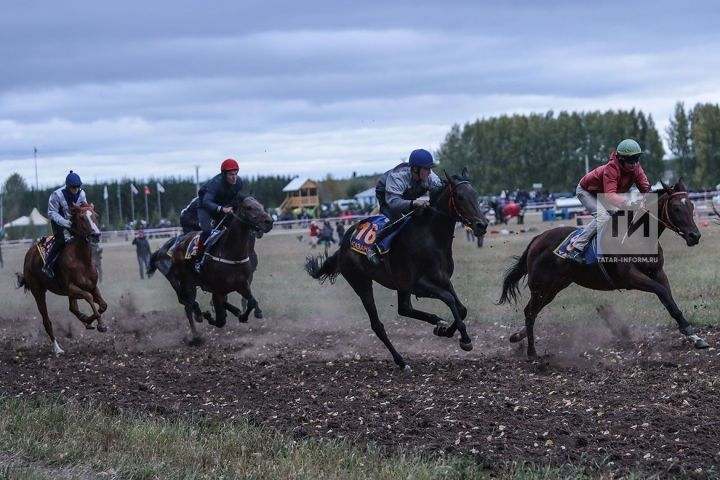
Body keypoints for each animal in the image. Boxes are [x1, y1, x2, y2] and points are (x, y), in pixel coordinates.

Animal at [17, 204, 107, 354]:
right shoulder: (70, 287)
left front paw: (88, 320)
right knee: (47, 320)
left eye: (96, 215)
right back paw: (57, 348)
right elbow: (88, 297)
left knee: (72, 307)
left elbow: (103, 305)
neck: (81, 260)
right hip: (38, 291)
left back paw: (83, 319)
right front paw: (101, 325)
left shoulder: (92, 286)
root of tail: (29, 255)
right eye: (82, 217)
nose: (96, 235)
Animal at [146, 193, 272, 340]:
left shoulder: (243, 283)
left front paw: (246, 313)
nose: (269, 222)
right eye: (248, 207)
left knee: (189, 303)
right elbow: (220, 317)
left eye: (261, 206)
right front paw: (210, 315)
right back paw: (196, 332)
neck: (231, 253)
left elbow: (250, 301)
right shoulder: (217, 289)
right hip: (181, 282)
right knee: (187, 304)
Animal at [500, 181, 708, 360]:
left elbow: (669, 301)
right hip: (540, 286)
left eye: (691, 206)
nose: (695, 236)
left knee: (533, 311)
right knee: (529, 312)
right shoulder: (632, 277)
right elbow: (662, 292)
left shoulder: (658, 273)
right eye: (676, 208)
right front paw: (690, 332)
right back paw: (532, 353)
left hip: (553, 288)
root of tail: (537, 238)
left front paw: (694, 337)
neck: (638, 236)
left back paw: (518, 336)